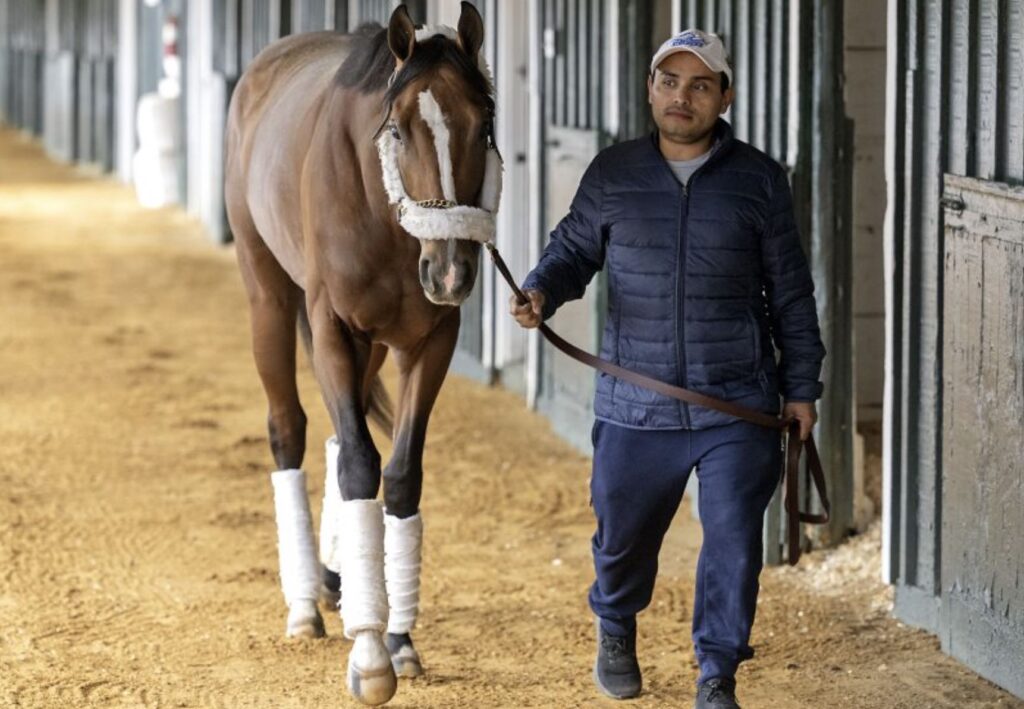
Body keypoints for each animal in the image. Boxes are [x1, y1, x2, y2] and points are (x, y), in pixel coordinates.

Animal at [222, 4, 501, 704]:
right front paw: (370, 654)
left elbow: (397, 473)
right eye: (397, 128)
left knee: (333, 438)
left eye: (484, 122)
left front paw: (397, 635)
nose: (450, 271)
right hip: (268, 295)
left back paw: (337, 579)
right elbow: (357, 465)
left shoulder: (431, 340)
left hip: (372, 345)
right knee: (289, 430)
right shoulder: (330, 328)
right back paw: (304, 605)